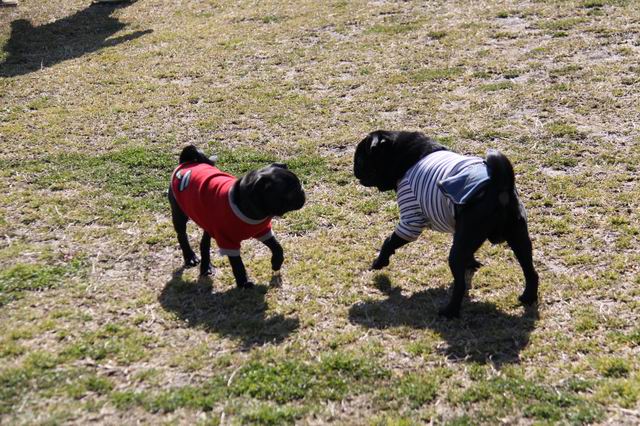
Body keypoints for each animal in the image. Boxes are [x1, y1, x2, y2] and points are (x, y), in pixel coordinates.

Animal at [168, 145, 305, 288]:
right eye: (290, 193)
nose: (302, 192)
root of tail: (186, 162)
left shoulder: (263, 231)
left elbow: (277, 247)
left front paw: (276, 263)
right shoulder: (228, 242)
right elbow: (238, 264)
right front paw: (243, 283)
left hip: (209, 225)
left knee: (204, 244)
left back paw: (206, 268)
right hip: (179, 214)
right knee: (182, 235)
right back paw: (190, 257)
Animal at [353, 130, 539, 318]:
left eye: (360, 159)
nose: (354, 169)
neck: (404, 154)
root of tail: (500, 186)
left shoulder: (411, 220)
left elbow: (389, 241)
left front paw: (379, 263)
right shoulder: (459, 230)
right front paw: (471, 262)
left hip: (458, 251)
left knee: (460, 286)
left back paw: (449, 312)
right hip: (519, 238)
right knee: (531, 272)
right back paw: (528, 297)